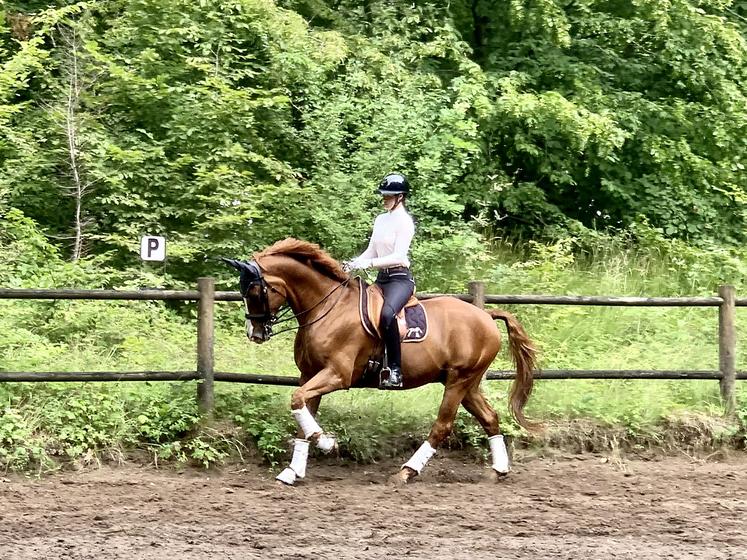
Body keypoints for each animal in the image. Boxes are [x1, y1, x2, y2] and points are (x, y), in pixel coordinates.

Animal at [222, 238, 536, 484]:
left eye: (254, 291)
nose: (254, 333)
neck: (327, 308)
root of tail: (485, 315)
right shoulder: (309, 375)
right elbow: (301, 413)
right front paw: (292, 471)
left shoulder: (337, 374)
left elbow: (297, 400)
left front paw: (328, 443)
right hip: (466, 382)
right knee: (490, 418)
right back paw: (498, 470)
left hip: (459, 380)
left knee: (443, 425)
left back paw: (407, 471)